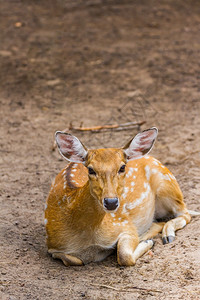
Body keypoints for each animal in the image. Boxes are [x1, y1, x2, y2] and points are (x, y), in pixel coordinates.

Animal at [44, 127, 199, 266]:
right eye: (90, 169)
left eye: (122, 167)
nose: (111, 202)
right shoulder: (52, 246)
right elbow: (72, 260)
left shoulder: (124, 225)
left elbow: (124, 256)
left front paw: (146, 241)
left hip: (166, 182)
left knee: (185, 213)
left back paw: (164, 235)